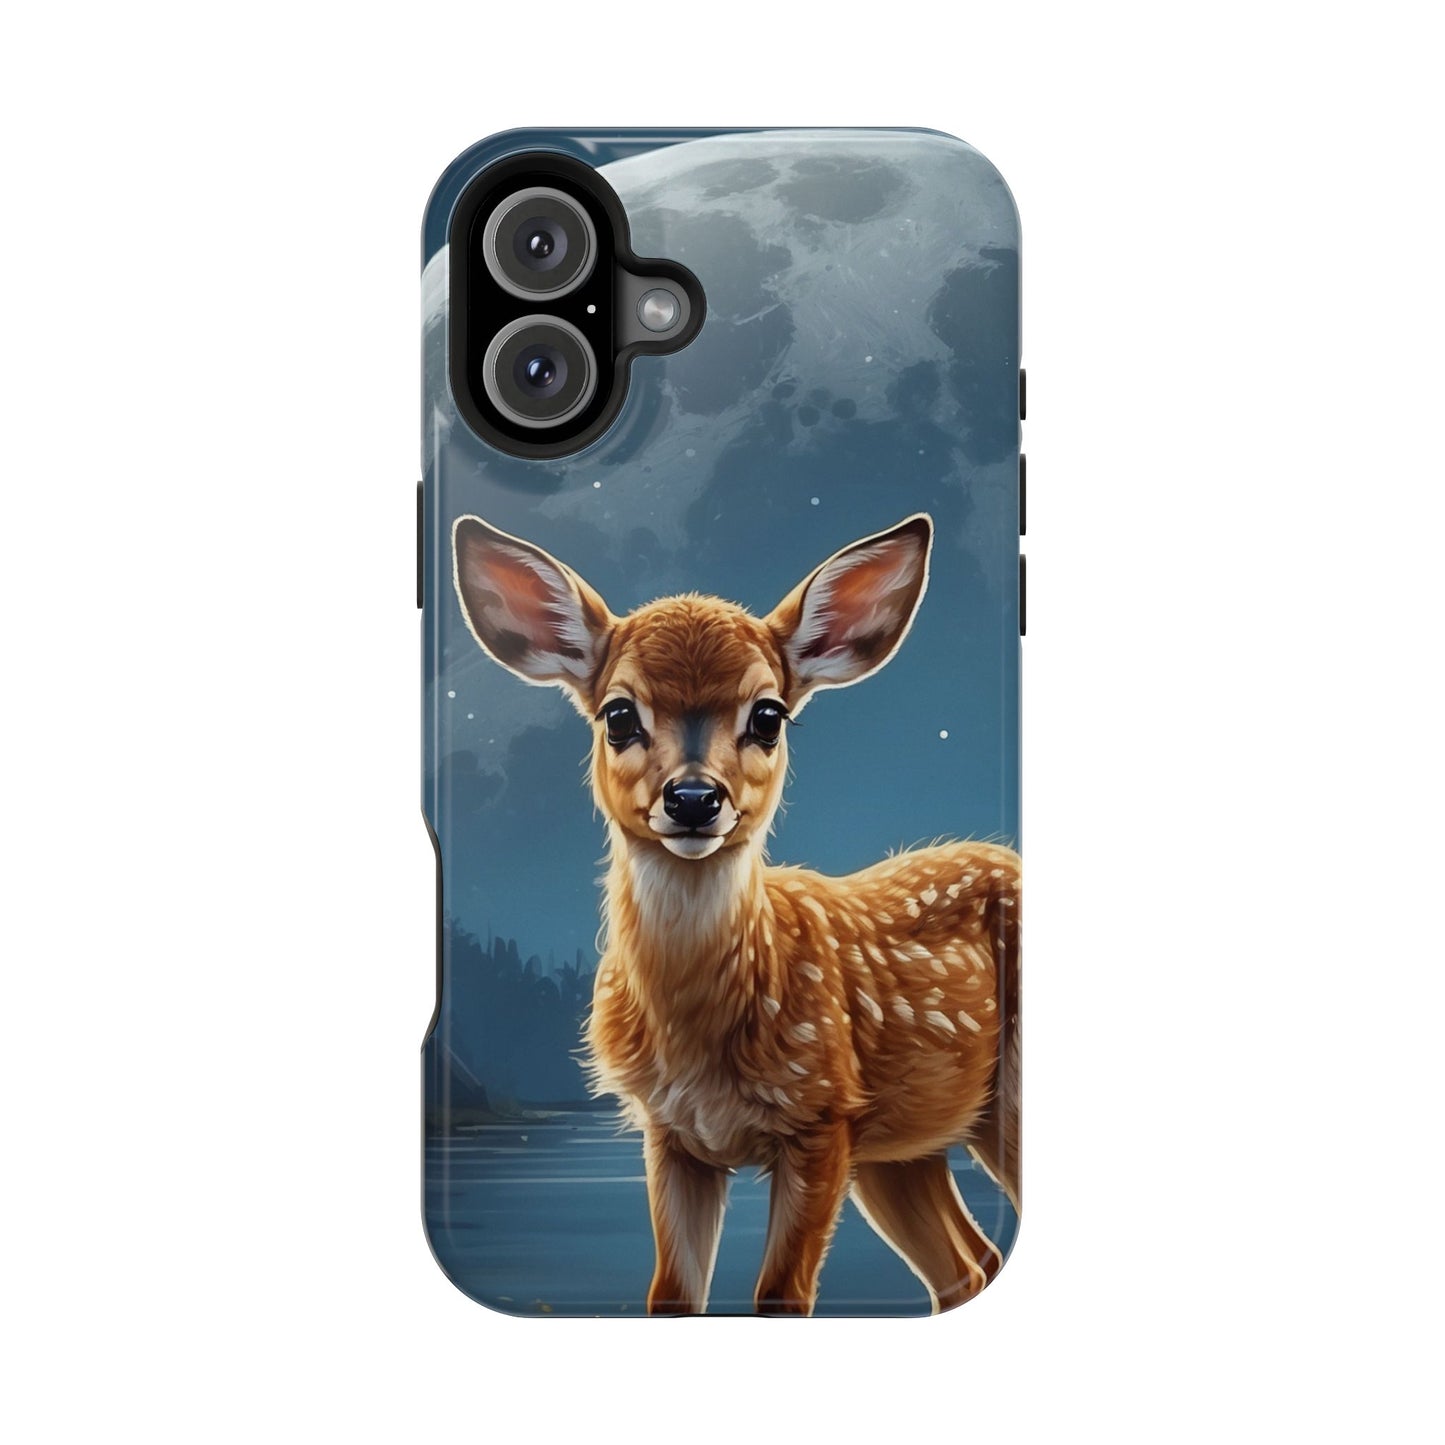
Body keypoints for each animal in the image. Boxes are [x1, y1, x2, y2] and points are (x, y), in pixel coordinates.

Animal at [452, 511, 1020, 1316]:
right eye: (618, 714)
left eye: (768, 715)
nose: (693, 798)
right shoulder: (671, 1134)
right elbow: (671, 1294)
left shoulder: (819, 1118)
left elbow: (781, 1295)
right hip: (900, 1146)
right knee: (970, 1266)